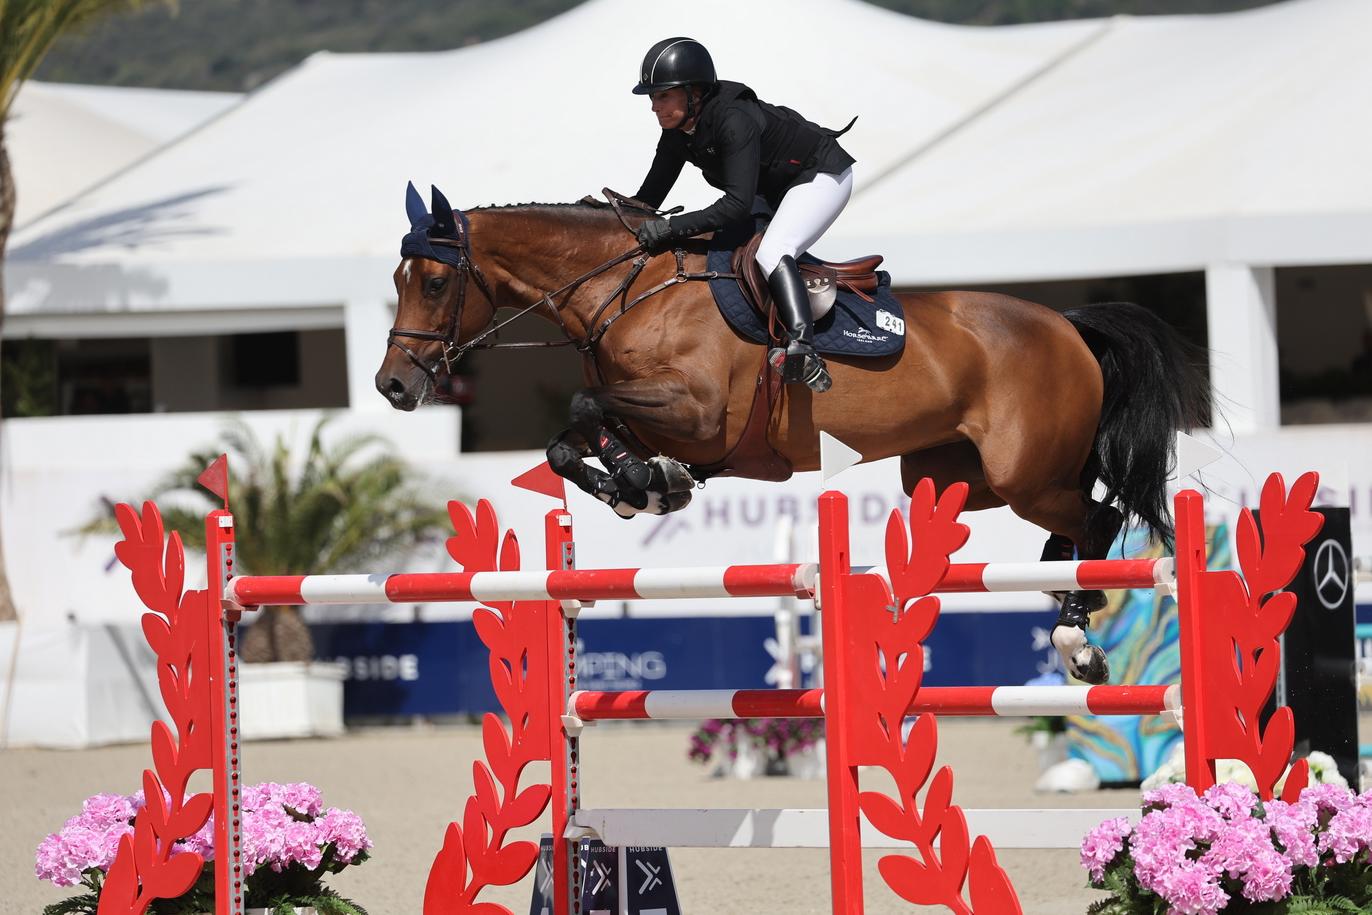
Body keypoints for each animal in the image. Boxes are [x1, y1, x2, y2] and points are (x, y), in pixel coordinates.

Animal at [381, 183, 1207, 685]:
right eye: (396, 281)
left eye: (433, 282)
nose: (393, 385)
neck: (624, 290)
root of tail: (1066, 324)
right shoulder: (664, 420)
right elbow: (567, 439)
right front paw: (641, 486)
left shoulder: (697, 413)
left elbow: (585, 404)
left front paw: (645, 482)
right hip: (953, 478)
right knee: (1069, 522)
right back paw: (1072, 614)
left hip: (1023, 473)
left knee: (1097, 516)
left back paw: (1076, 634)